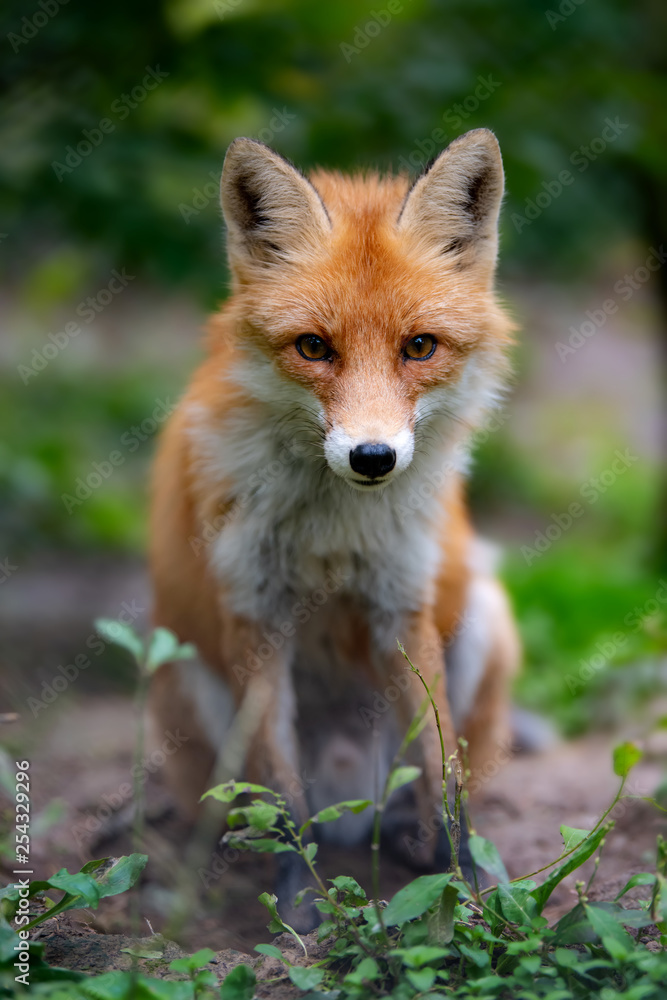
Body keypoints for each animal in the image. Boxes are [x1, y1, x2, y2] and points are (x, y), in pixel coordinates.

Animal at [149, 131, 520, 928]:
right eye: (314, 347)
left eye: (420, 347)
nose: (372, 457)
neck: (332, 533)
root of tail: (355, 806)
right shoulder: (255, 613)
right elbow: (284, 797)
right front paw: (299, 908)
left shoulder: (400, 606)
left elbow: (443, 778)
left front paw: (469, 891)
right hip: (186, 666)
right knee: (248, 808)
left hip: (482, 613)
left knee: (430, 784)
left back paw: (417, 844)